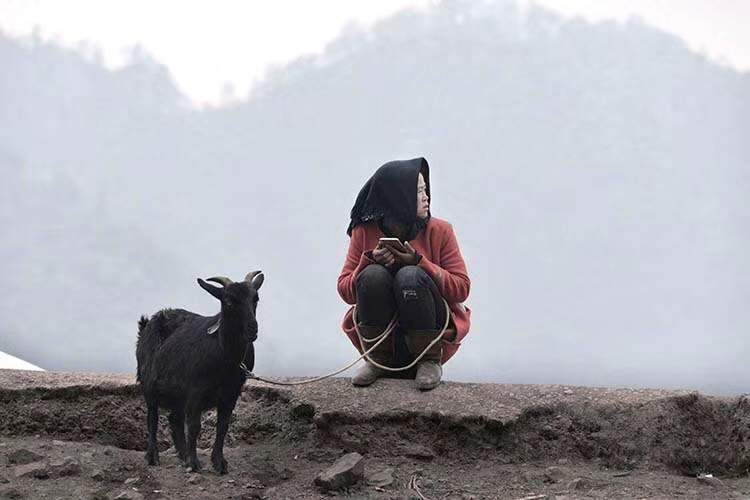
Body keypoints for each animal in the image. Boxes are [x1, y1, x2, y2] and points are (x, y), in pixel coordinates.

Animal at [135, 272, 264, 474]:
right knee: (152, 418)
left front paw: (219, 463)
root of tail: (147, 324)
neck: (225, 356)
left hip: (177, 395)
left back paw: (182, 455)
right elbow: (195, 426)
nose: (252, 329)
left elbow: (223, 426)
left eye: (255, 298)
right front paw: (194, 463)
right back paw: (153, 456)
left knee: (174, 419)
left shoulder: (231, 392)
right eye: (228, 301)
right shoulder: (196, 389)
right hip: (149, 384)